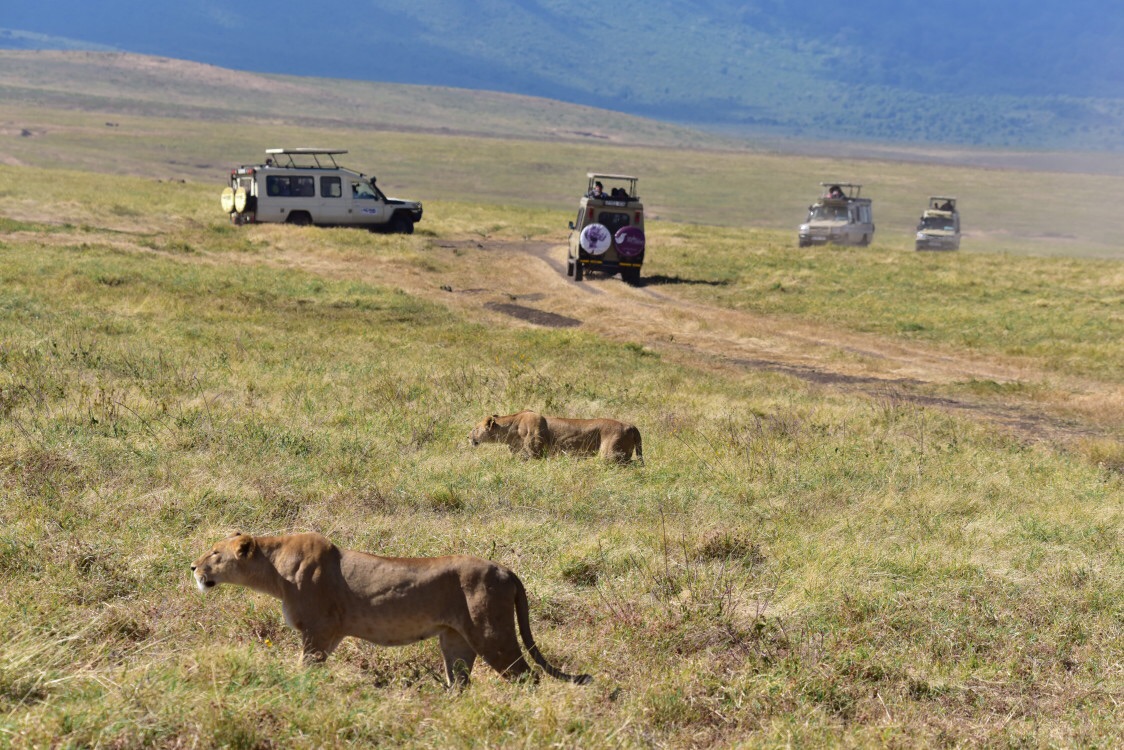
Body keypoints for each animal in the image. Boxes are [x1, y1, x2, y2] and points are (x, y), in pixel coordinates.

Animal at [191, 532, 597, 688]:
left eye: (215, 553)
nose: (193, 567)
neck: (274, 569)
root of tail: (506, 569)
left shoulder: (319, 632)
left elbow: (306, 667)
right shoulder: (327, 635)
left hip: (492, 633)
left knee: (527, 676)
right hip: (455, 640)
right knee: (460, 681)